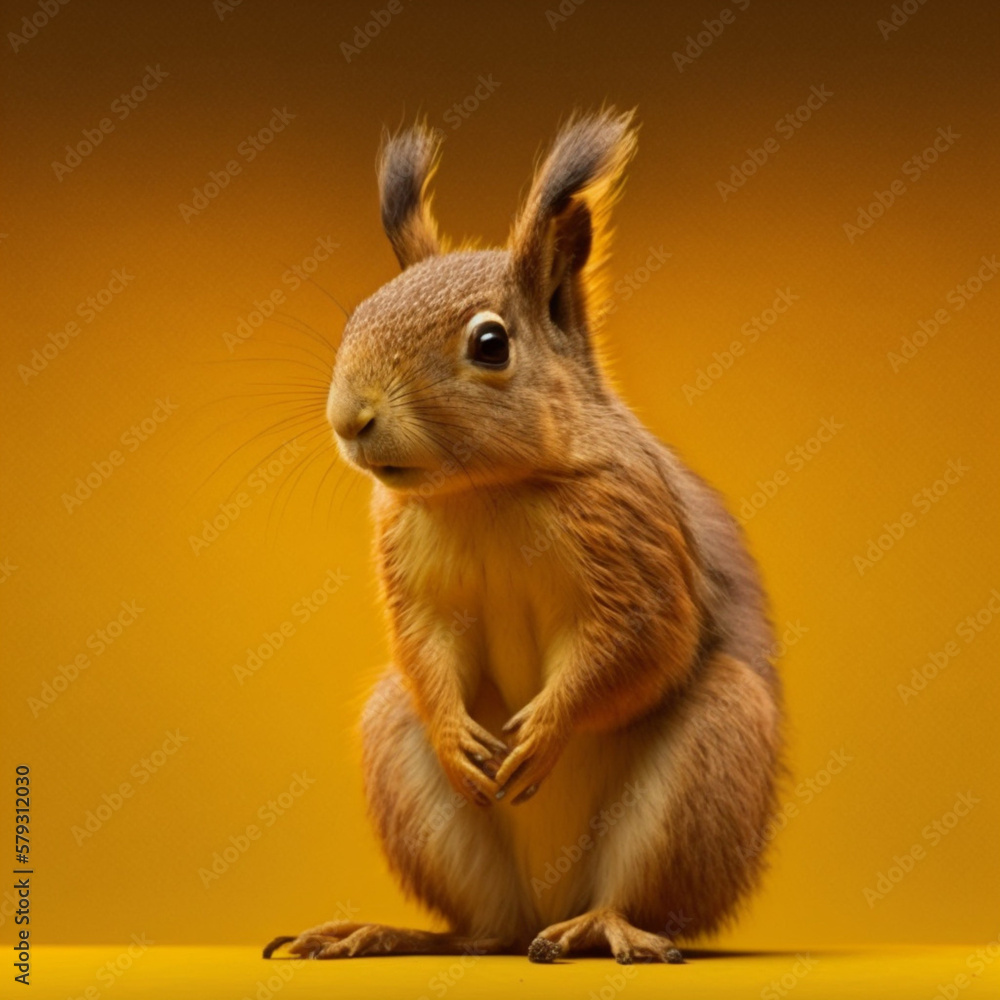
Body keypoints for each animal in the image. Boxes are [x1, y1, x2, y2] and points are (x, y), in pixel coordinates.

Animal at [264, 109, 783, 965]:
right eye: (359, 315)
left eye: (490, 344)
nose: (350, 417)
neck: (485, 494)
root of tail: (547, 899)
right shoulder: (412, 572)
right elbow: (424, 645)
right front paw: (456, 734)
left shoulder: (633, 545)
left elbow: (636, 647)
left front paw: (545, 729)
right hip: (404, 760)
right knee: (482, 929)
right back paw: (390, 934)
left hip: (712, 759)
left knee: (628, 899)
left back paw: (604, 927)